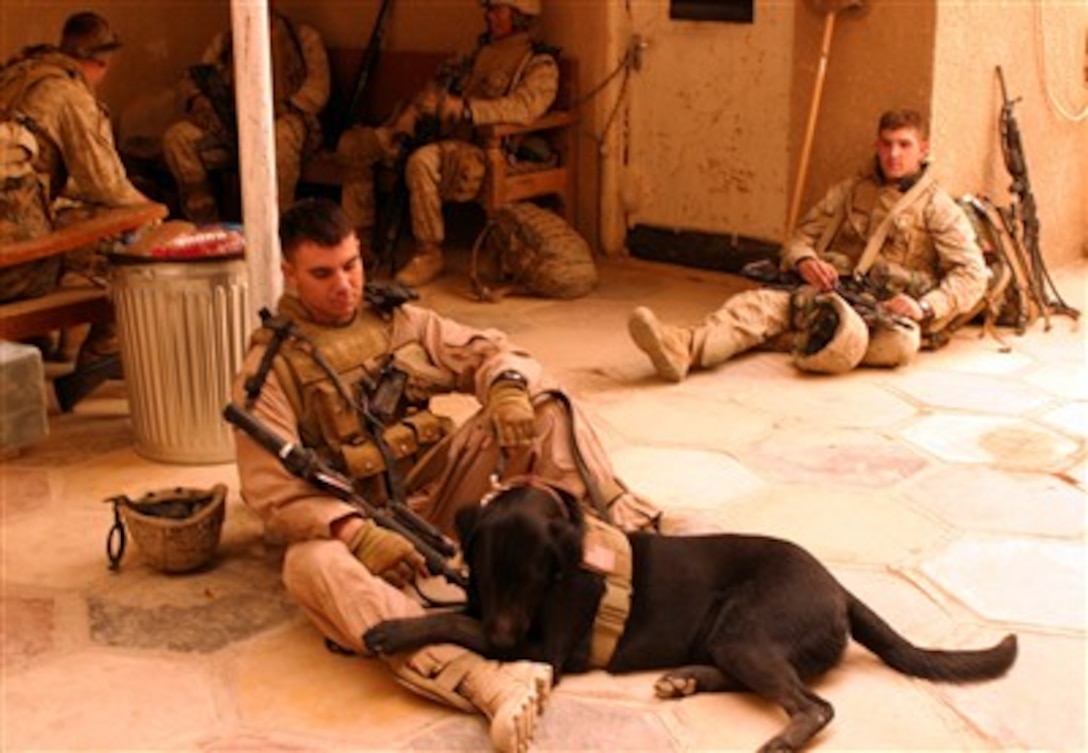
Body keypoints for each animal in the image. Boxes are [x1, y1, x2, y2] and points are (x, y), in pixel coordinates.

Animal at [367, 485, 1018, 748]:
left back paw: (780, 739)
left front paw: (389, 629)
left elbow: (456, 622)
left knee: (815, 704)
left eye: (534, 579)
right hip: (732, 637)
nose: (503, 642)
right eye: (486, 571)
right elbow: (457, 610)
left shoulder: (546, 648)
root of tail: (839, 588)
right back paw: (684, 680)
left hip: (748, 632)